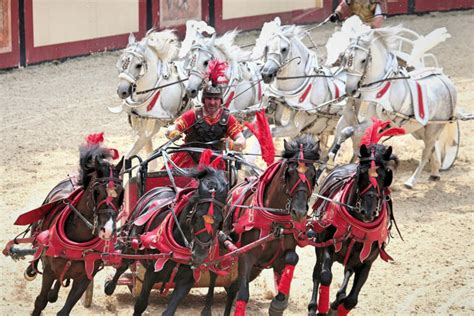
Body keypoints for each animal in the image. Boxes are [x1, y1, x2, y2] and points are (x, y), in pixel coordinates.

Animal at [104, 167, 230, 314]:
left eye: (220, 219)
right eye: (197, 215)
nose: (199, 256)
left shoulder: (187, 280)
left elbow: (170, 310)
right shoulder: (152, 272)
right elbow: (140, 304)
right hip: (130, 242)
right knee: (123, 264)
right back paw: (109, 287)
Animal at [308, 144, 400, 316]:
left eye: (385, 175)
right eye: (361, 173)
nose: (368, 211)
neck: (357, 225)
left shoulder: (367, 262)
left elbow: (351, 300)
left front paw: (336, 305)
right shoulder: (329, 245)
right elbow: (325, 276)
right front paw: (323, 308)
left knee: (348, 272)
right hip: (320, 244)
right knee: (317, 272)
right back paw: (312, 307)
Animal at [340, 25, 456, 189]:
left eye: (363, 60)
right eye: (345, 58)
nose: (350, 90)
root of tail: (446, 81)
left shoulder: (370, 125)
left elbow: (352, 135)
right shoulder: (350, 120)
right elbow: (347, 136)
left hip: (434, 128)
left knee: (426, 152)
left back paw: (411, 181)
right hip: (420, 128)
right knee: (432, 148)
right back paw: (435, 173)